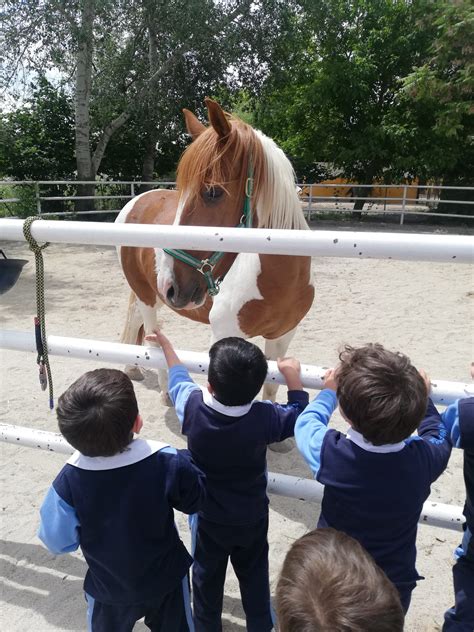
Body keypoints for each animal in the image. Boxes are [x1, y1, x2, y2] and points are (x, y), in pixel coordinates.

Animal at [115, 96, 314, 408]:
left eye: (212, 192)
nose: (171, 286)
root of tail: (138, 200)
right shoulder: (224, 333)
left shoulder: (284, 335)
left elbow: (271, 386)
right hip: (148, 295)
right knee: (150, 335)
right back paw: (164, 391)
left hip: (151, 295)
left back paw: (133, 368)